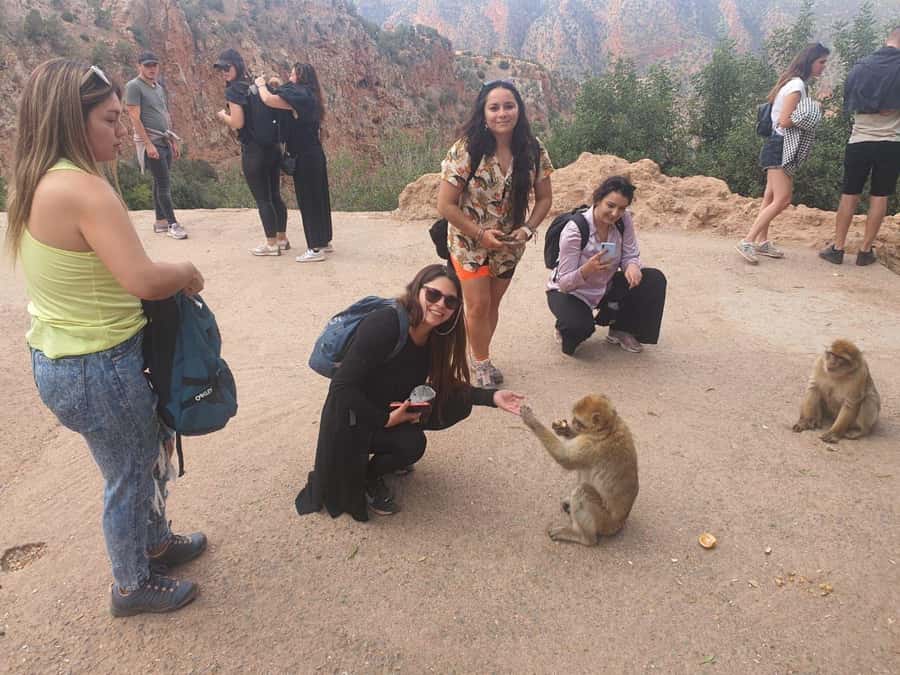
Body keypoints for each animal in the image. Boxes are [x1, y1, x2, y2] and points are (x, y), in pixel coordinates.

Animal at [520, 394, 638, 546]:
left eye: (579, 421)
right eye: (574, 419)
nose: (572, 422)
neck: (608, 428)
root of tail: (620, 522)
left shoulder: (591, 444)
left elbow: (565, 457)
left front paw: (531, 420)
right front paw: (564, 429)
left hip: (604, 521)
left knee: (583, 491)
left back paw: (583, 537)